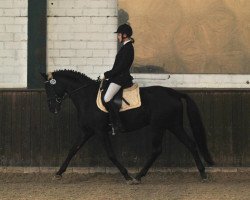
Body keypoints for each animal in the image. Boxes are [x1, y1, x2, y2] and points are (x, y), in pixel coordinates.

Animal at [40, 69, 213, 184]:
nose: (52, 109)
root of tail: (174, 93)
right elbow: (72, 150)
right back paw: (202, 174)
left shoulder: (100, 131)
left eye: (49, 88)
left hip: (160, 126)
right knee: (190, 144)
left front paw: (127, 176)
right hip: (172, 125)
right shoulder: (86, 131)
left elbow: (111, 154)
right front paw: (58, 173)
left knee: (158, 149)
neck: (86, 98)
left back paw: (138, 176)